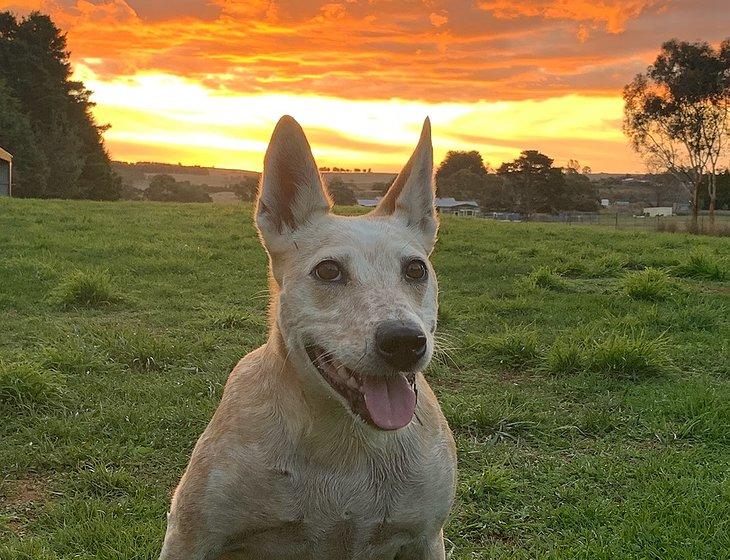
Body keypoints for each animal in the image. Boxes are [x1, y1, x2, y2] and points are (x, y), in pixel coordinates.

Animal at [159, 116, 456, 556]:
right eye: (328, 271)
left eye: (416, 269)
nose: (405, 342)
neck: (344, 444)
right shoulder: (190, 535)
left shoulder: (426, 538)